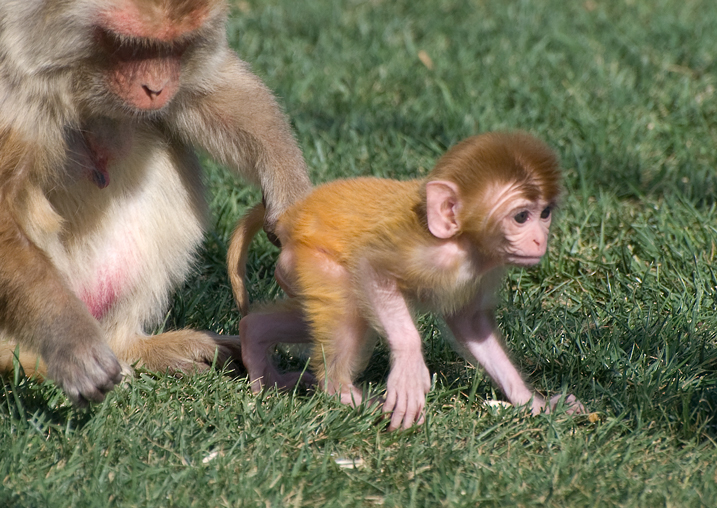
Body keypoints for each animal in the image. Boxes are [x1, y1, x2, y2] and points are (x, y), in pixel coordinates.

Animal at [1, 0, 312, 404]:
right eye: (133, 46)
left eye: (176, 47)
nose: (157, 89)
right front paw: (69, 339)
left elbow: (209, 84)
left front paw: (290, 194)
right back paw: (29, 359)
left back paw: (134, 345)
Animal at [232, 131, 584, 428]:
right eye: (521, 217)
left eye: (545, 213)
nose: (540, 239)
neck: (463, 243)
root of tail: (291, 217)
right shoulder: (427, 254)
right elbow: (372, 268)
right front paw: (409, 362)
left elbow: (470, 324)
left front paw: (531, 402)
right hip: (308, 259)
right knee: (347, 303)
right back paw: (340, 392)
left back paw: (255, 338)